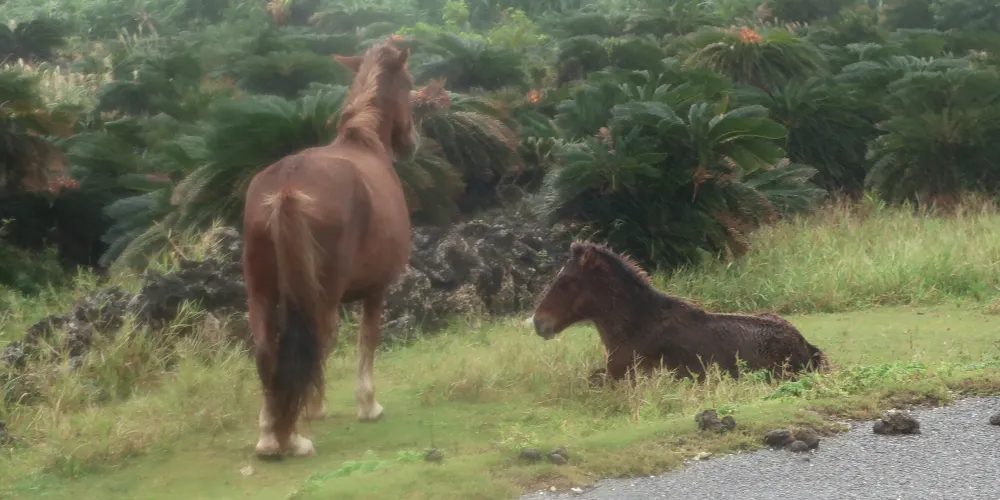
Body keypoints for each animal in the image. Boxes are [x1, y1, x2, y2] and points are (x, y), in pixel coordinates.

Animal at [241, 37, 417, 458]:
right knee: (306, 341)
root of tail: (287, 185)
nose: (411, 142)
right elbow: (365, 341)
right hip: (321, 291)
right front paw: (366, 404)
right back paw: (291, 437)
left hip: (261, 291)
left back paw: (270, 434)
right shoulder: (376, 289)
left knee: (268, 351)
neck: (364, 140)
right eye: (410, 83)